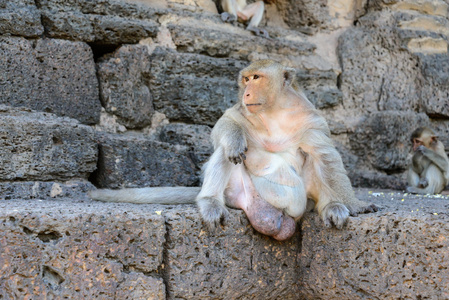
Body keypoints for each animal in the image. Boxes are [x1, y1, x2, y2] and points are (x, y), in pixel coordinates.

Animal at [90, 59, 378, 240]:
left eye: (257, 78)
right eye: (246, 79)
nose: (247, 93)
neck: (274, 112)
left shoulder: (311, 119)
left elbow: (325, 156)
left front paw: (354, 204)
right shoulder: (242, 111)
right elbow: (224, 125)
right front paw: (235, 140)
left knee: (315, 163)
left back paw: (332, 207)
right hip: (238, 192)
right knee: (223, 152)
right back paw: (209, 201)